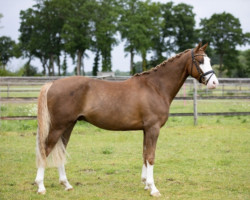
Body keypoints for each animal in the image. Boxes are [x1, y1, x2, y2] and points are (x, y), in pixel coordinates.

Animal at [34, 43, 219, 196]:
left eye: (209, 60)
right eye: (201, 61)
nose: (215, 83)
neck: (156, 87)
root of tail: (53, 84)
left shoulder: (146, 129)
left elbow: (144, 154)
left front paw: (146, 184)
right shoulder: (153, 128)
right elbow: (151, 156)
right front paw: (154, 189)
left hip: (68, 126)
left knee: (60, 150)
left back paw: (66, 185)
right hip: (58, 126)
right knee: (46, 149)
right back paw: (41, 186)